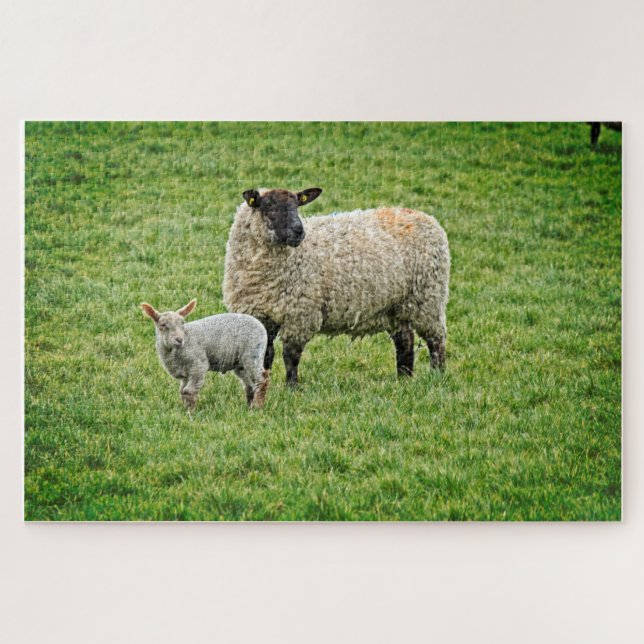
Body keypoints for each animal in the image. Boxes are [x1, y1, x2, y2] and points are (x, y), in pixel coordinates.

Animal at [140, 299, 269, 410]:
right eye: (162, 325)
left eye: (183, 323)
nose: (179, 339)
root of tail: (261, 325)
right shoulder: (185, 373)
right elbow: (182, 391)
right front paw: (185, 410)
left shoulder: (198, 364)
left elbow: (189, 390)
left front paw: (190, 413)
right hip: (241, 363)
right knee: (250, 385)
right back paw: (250, 406)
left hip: (253, 353)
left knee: (262, 379)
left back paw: (258, 406)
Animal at [222, 188, 450, 387]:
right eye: (268, 206)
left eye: (297, 205)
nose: (299, 231)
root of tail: (427, 218)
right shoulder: (260, 313)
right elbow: (266, 355)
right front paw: (262, 387)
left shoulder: (301, 314)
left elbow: (291, 355)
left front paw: (291, 388)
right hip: (396, 305)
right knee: (405, 341)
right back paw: (404, 378)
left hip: (428, 298)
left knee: (436, 340)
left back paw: (437, 376)